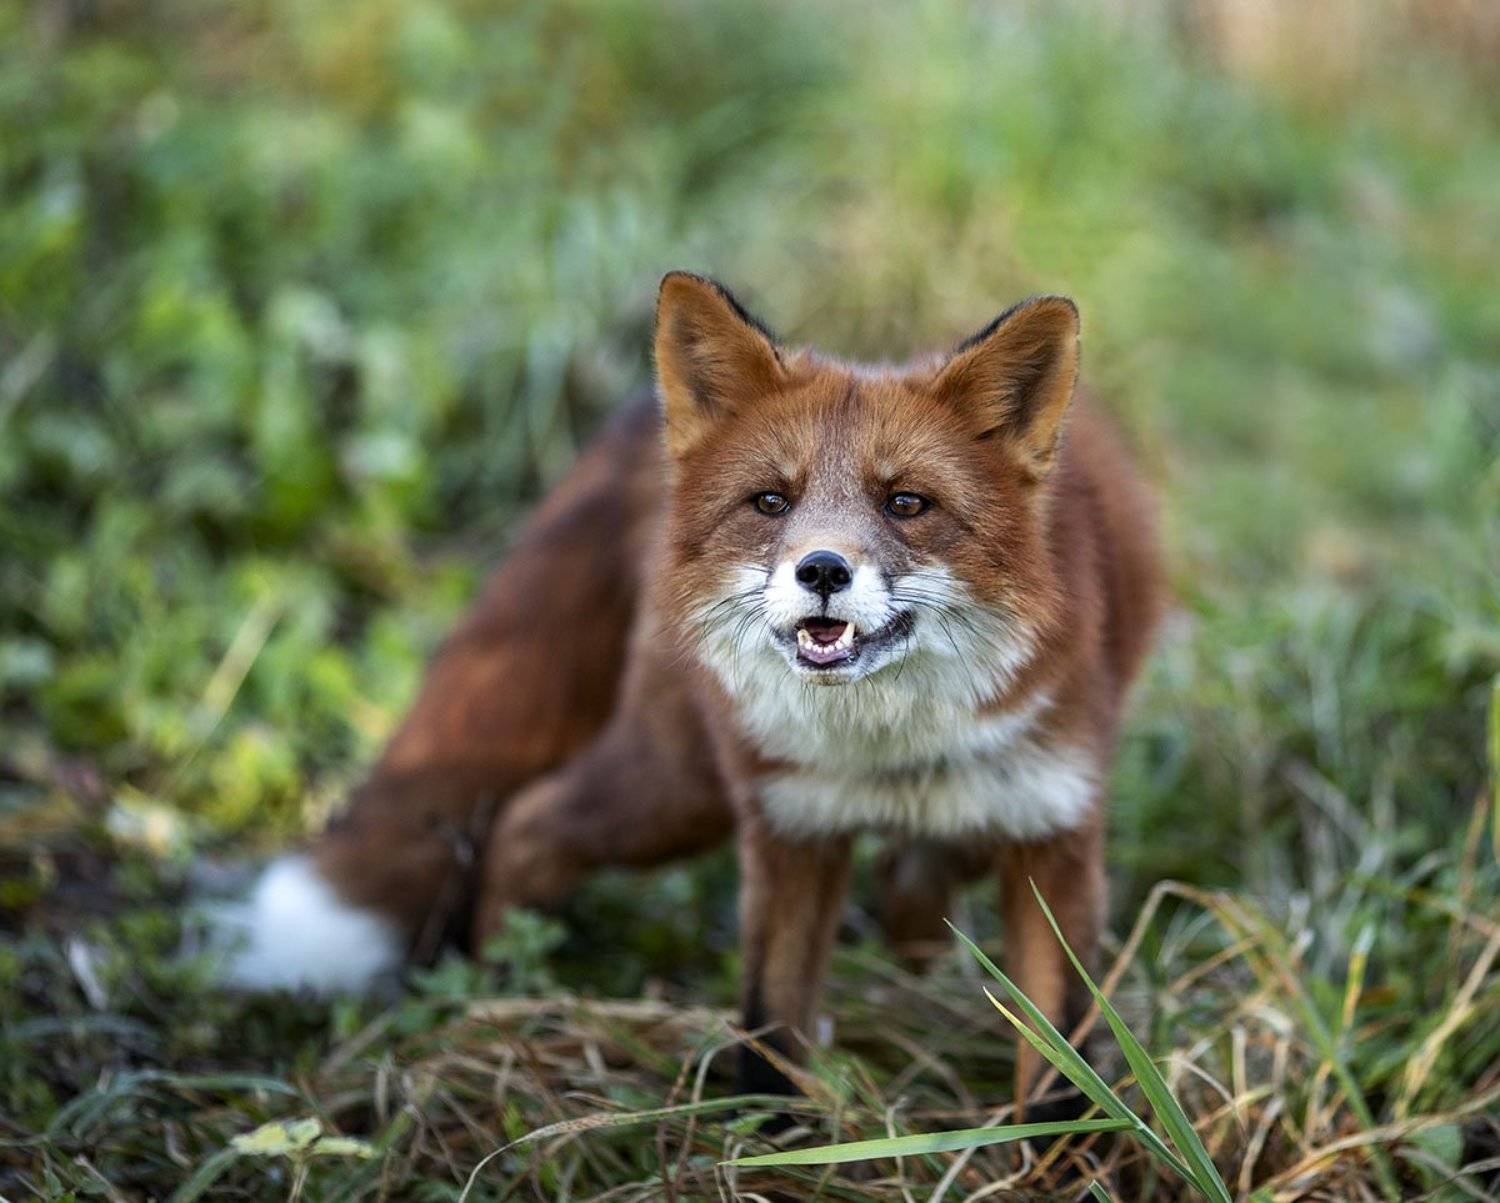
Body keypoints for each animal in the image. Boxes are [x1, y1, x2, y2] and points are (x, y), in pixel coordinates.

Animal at [223, 272, 1164, 1114]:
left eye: (906, 502)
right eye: (771, 501)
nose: (823, 569)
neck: (892, 748)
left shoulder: (1053, 831)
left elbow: (1059, 1062)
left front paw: (1060, 1158)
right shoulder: (787, 829)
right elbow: (769, 1030)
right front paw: (774, 1143)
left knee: (914, 879)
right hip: (678, 788)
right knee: (523, 821)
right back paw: (507, 991)